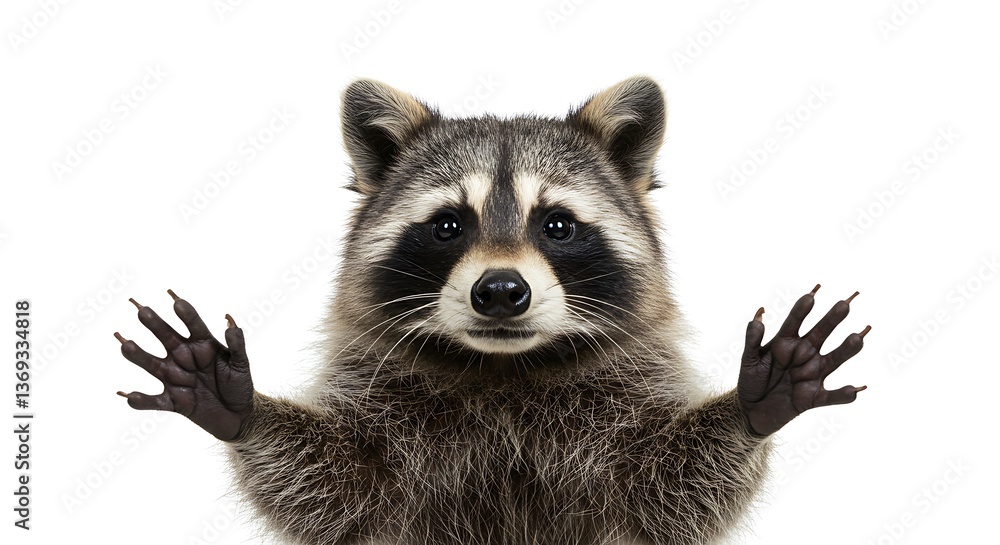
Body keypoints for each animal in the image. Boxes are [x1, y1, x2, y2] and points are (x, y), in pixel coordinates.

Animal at [115, 76, 869, 544]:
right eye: (449, 225)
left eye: (557, 225)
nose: (502, 291)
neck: (503, 367)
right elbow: (331, 484)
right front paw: (239, 404)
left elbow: (671, 485)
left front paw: (752, 402)